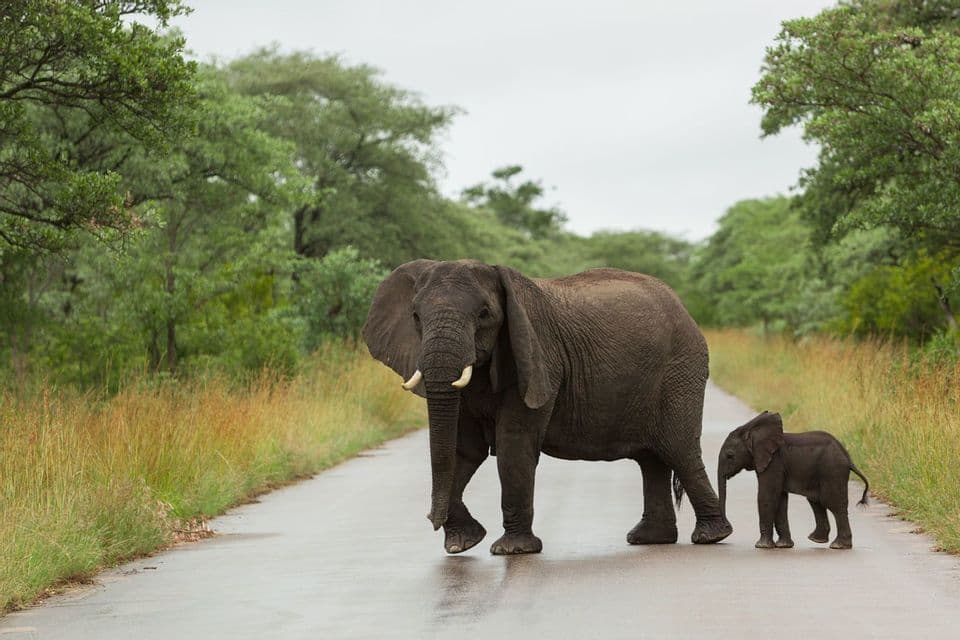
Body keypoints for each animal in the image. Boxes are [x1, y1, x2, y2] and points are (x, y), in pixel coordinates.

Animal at [362, 259, 732, 555]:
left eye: (484, 315)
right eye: (415, 317)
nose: (431, 520)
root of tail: (683, 308)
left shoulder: (538, 357)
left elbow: (513, 443)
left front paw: (511, 550)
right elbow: (463, 450)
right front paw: (464, 543)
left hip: (680, 370)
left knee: (678, 449)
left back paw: (710, 537)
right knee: (652, 459)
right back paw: (650, 539)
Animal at [717, 411, 869, 550]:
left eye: (730, 455)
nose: (727, 527)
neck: (752, 430)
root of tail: (848, 458)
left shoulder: (774, 462)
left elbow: (767, 496)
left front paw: (761, 546)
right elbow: (780, 499)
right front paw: (783, 545)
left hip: (832, 470)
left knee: (832, 503)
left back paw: (838, 545)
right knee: (816, 501)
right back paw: (817, 540)